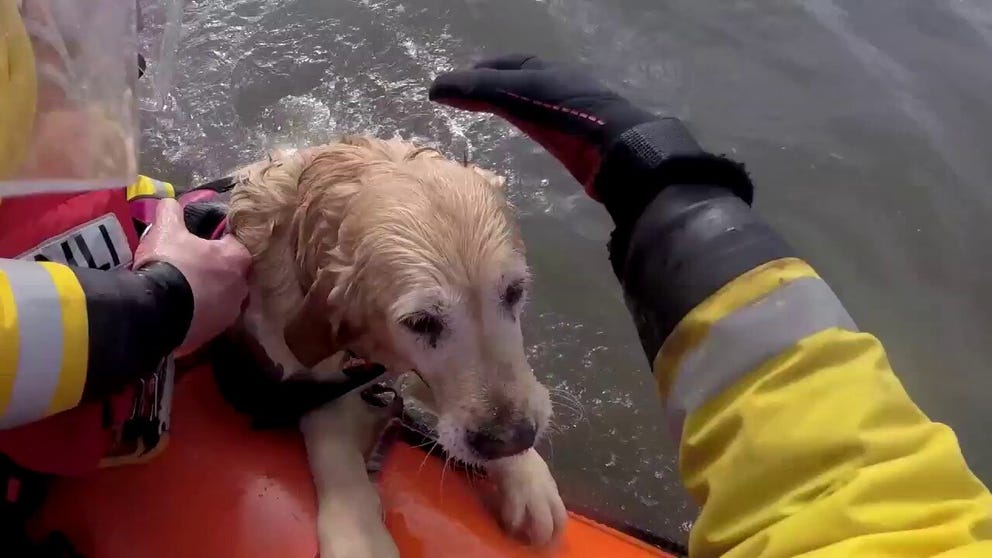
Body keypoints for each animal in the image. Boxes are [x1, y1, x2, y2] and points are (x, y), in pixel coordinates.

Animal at [225, 137, 564, 558]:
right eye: (420, 322)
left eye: (514, 292)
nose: (511, 440)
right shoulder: (305, 382)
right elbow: (332, 444)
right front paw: (359, 534)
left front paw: (526, 475)